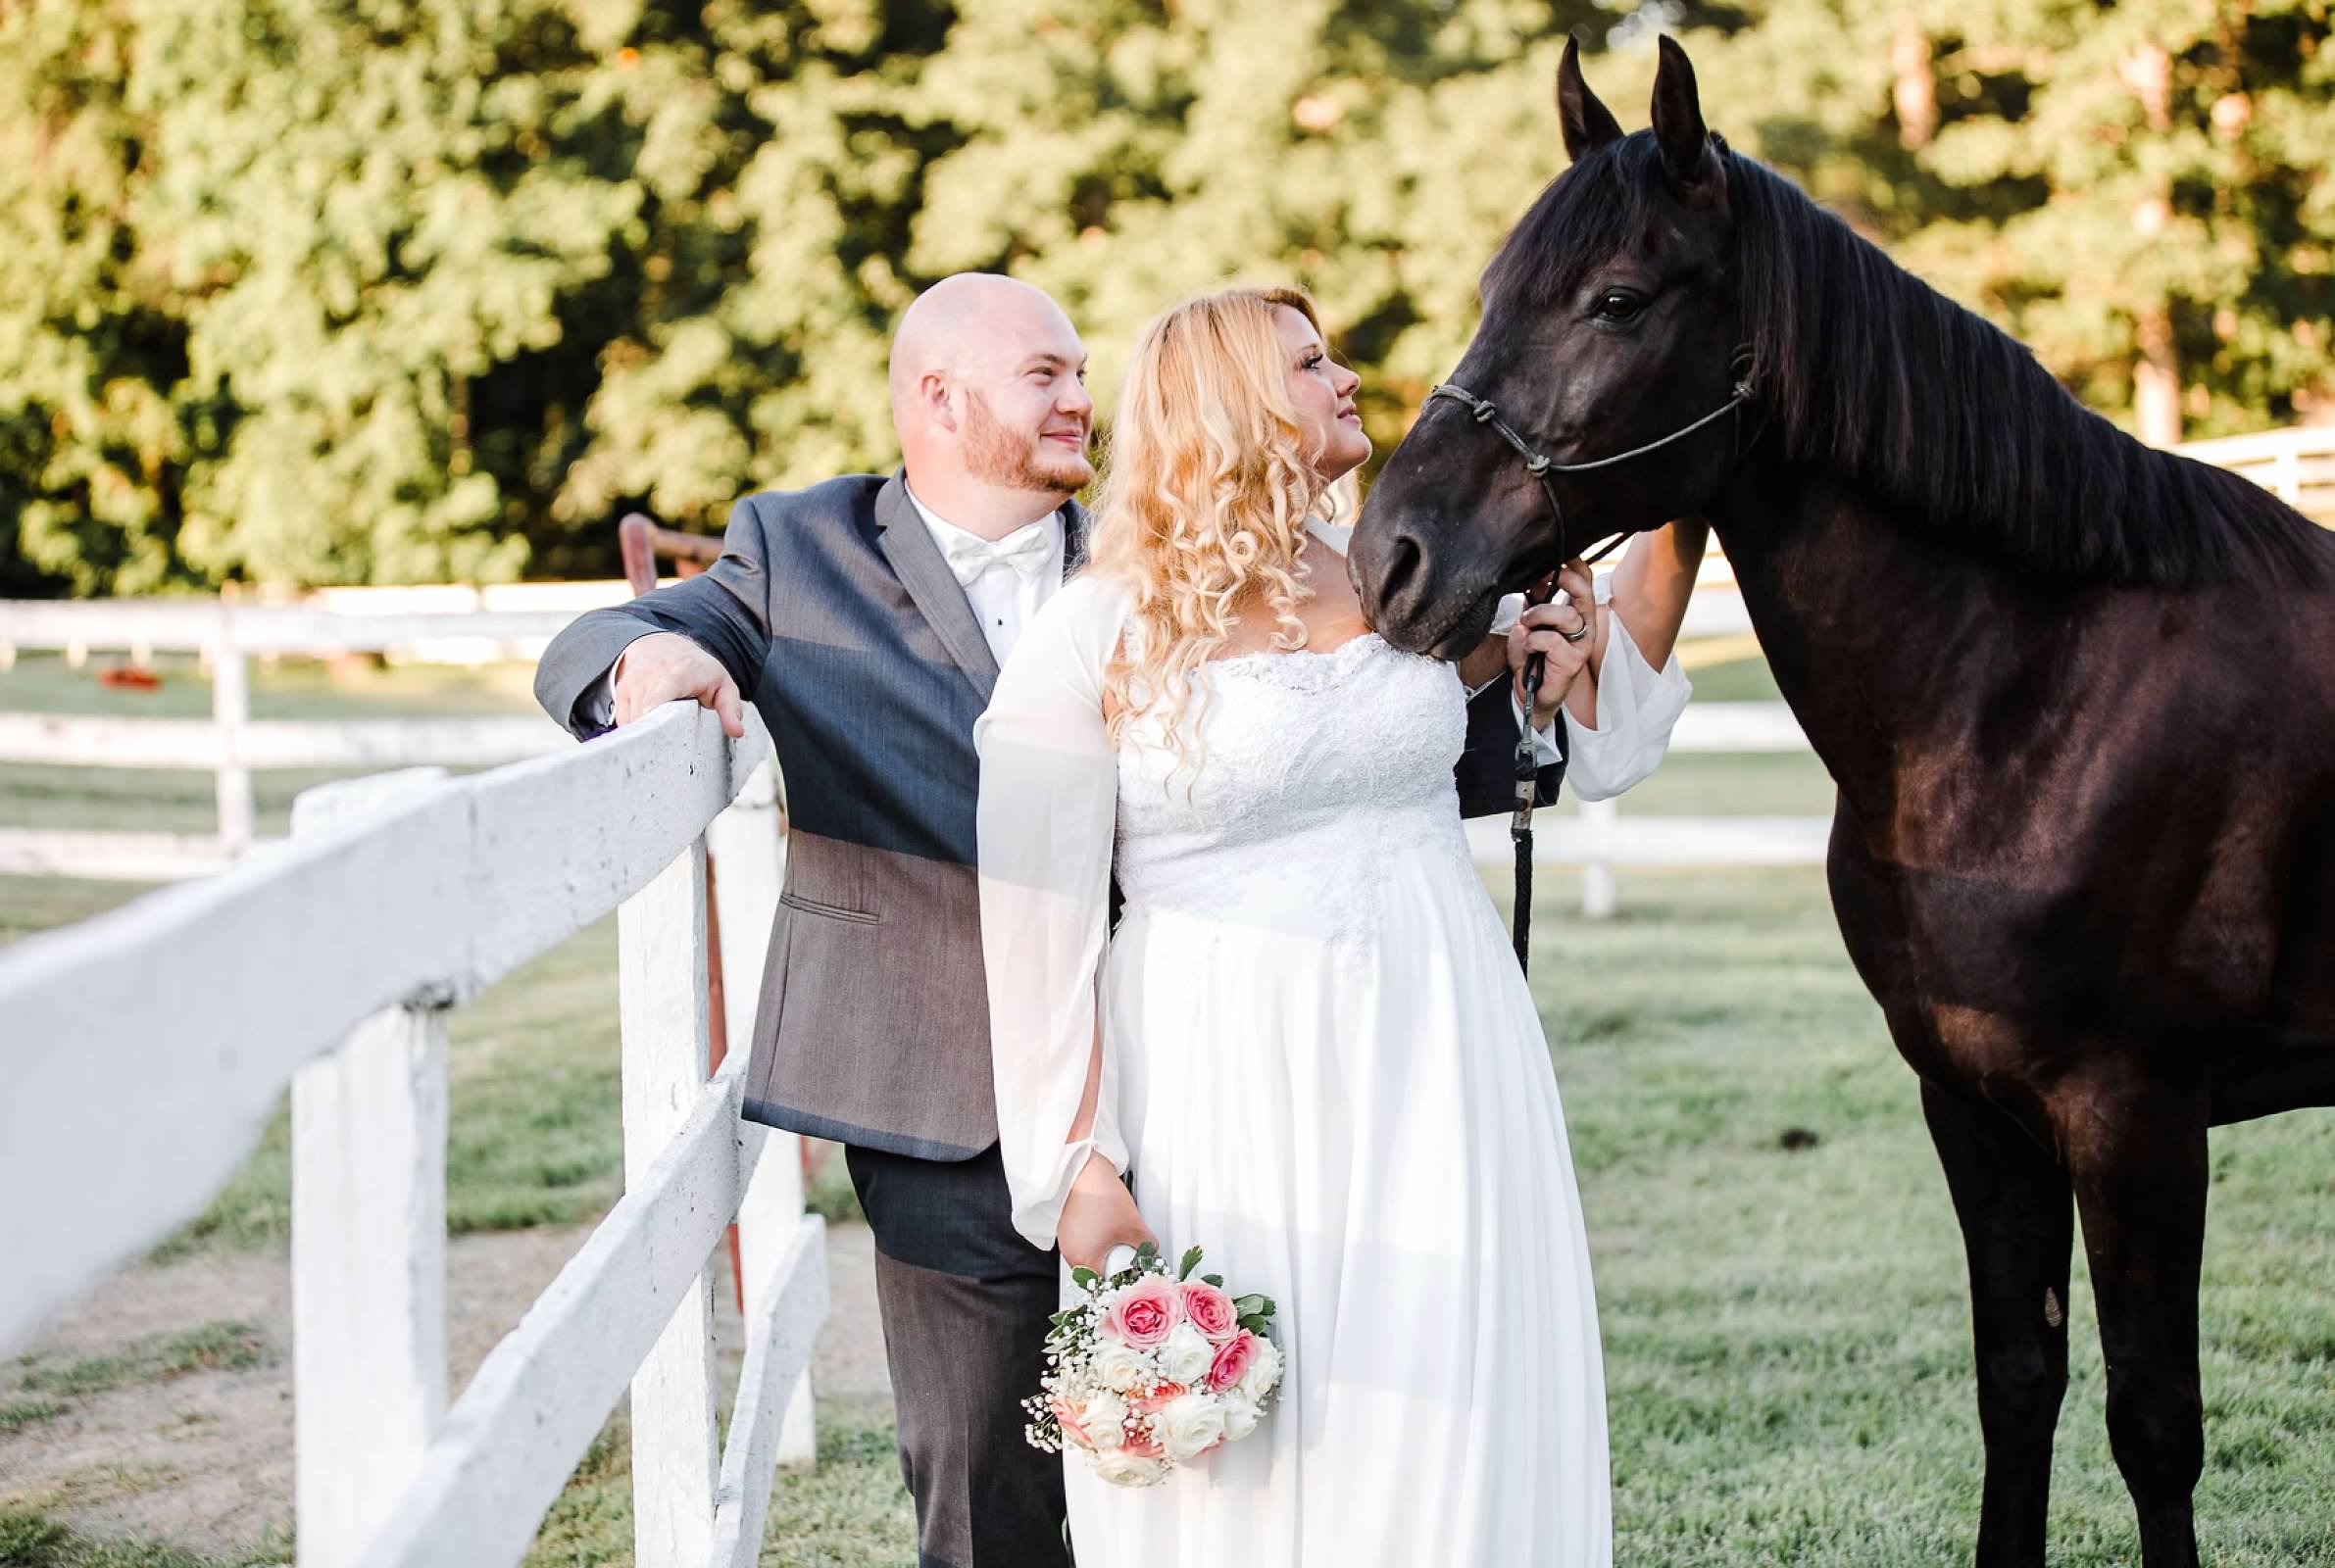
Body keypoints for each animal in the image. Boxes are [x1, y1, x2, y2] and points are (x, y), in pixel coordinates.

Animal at [1354, 36, 2335, 1568]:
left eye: (1617, 300)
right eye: (1491, 296)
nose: (1388, 558)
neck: (2033, 695)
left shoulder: (2140, 1122)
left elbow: (2154, 1427)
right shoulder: (1973, 1107)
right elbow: (2018, 1384)